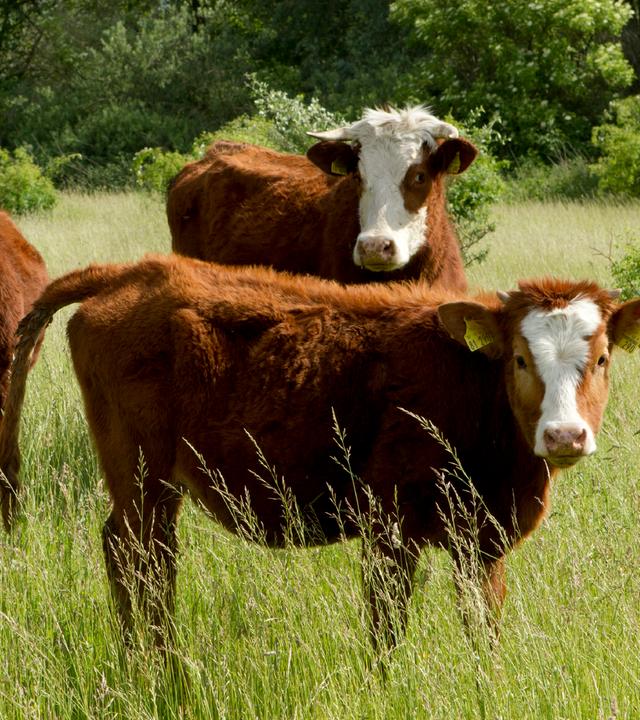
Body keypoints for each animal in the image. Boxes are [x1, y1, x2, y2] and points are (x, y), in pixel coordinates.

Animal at [0, 254, 637, 649]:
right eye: (520, 359)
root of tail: (128, 272)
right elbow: (386, 630)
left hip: (155, 487)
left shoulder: (482, 540)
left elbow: (484, 630)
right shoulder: (390, 529)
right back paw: (154, 671)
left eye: (603, 357)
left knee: (148, 561)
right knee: (135, 560)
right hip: (141, 478)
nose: (564, 436)